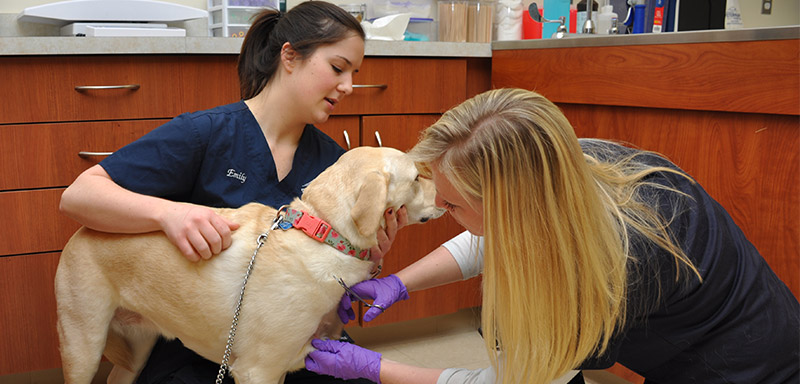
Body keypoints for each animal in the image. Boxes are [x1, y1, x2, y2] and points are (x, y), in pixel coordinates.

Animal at [56, 146, 444, 382]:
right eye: (416, 178)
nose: (442, 192)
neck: (323, 231)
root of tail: (80, 231)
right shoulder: (258, 371)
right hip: (83, 346)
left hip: (136, 349)